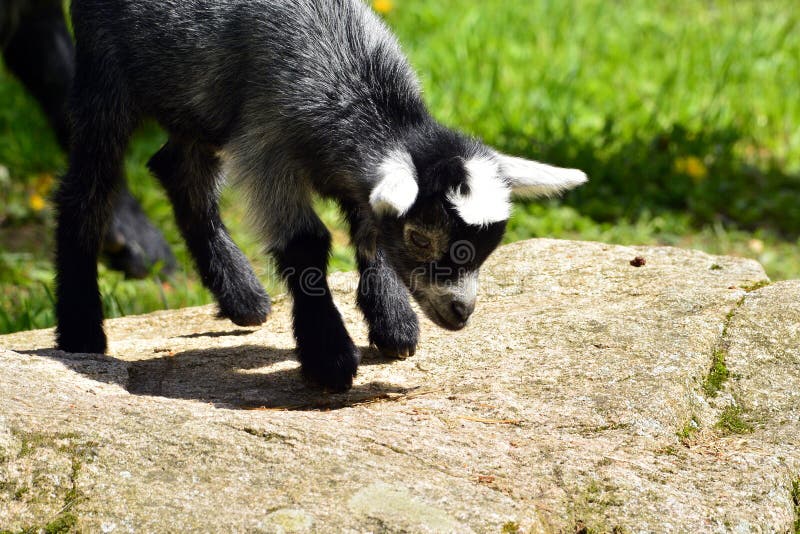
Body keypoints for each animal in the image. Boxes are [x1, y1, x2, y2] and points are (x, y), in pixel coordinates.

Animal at [56, 0, 587, 391]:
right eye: (420, 238)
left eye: (487, 249)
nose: (461, 313)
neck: (359, 93)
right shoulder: (265, 147)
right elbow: (306, 243)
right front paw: (328, 357)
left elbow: (368, 230)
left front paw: (393, 324)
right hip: (105, 70)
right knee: (88, 188)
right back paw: (81, 331)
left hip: (197, 105)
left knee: (178, 169)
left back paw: (241, 295)